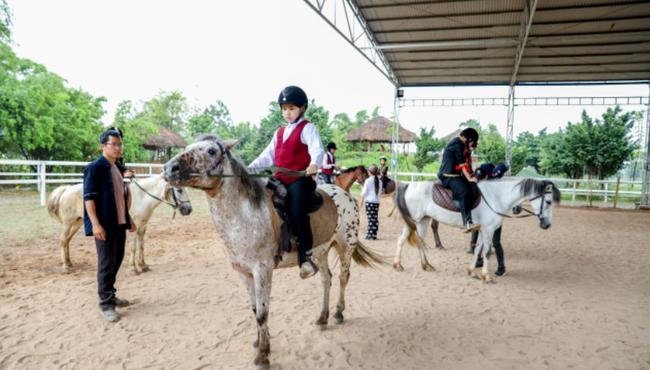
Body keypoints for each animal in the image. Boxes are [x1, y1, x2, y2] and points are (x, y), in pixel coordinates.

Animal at [46, 173, 191, 272]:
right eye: (178, 190)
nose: (189, 209)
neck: (141, 197)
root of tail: (67, 189)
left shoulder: (143, 227)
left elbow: (141, 246)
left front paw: (143, 265)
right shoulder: (134, 227)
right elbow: (133, 247)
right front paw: (133, 268)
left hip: (77, 222)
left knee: (68, 240)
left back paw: (69, 262)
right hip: (68, 222)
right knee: (63, 239)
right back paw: (65, 265)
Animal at [163, 134, 384, 368]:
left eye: (212, 151)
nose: (169, 168)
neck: (243, 215)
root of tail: (344, 194)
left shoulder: (262, 270)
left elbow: (262, 313)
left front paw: (263, 354)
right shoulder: (244, 273)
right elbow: (255, 310)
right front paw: (259, 342)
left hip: (345, 246)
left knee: (343, 278)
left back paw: (339, 313)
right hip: (321, 251)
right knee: (326, 279)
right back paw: (322, 317)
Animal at [392, 178, 560, 284]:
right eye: (548, 202)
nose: (547, 225)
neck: (496, 197)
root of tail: (409, 185)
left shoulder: (481, 230)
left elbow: (478, 249)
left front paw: (472, 271)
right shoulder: (488, 230)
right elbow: (486, 252)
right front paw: (487, 276)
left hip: (423, 220)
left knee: (417, 241)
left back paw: (425, 265)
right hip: (414, 220)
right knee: (401, 239)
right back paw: (398, 265)